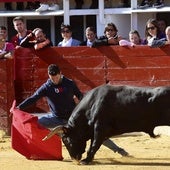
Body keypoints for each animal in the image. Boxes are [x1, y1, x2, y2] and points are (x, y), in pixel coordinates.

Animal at [42, 85, 170, 165]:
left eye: (65, 140)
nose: (74, 159)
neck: (91, 105)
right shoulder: (97, 131)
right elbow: (95, 144)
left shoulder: (100, 128)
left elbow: (94, 145)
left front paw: (86, 160)